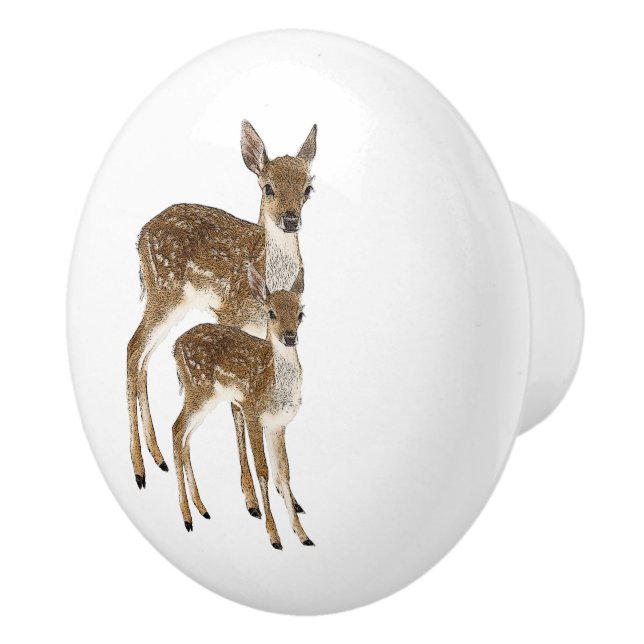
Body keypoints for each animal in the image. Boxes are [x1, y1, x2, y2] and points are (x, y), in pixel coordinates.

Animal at [172, 264, 312, 549]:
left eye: (301, 313)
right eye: (271, 312)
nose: (290, 337)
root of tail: (174, 346)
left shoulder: (278, 424)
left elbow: (284, 472)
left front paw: (303, 535)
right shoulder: (251, 410)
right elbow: (263, 471)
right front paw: (274, 536)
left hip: (206, 399)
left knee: (186, 436)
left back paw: (202, 508)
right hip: (198, 390)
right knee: (176, 429)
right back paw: (188, 517)